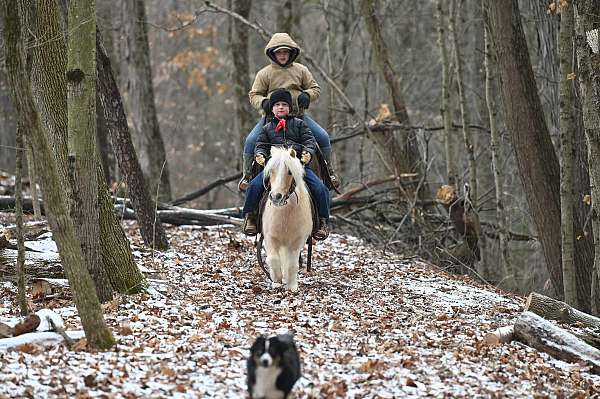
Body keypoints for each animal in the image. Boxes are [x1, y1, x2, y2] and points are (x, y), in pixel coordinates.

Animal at [262, 147, 312, 290]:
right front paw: (276, 281)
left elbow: (292, 264)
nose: (276, 197)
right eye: (271, 171)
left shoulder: (296, 241)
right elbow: (273, 259)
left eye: (290, 172)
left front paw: (292, 286)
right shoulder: (270, 238)